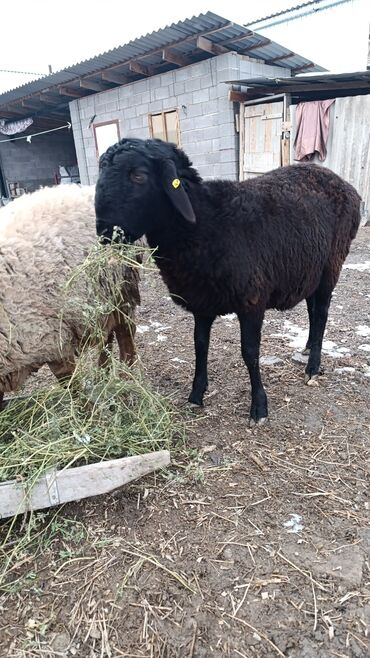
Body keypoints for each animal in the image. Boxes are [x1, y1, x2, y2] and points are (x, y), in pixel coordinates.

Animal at [0, 182, 142, 402]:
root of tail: (88, 188)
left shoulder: (51, 338)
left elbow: (71, 386)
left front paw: (86, 408)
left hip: (120, 287)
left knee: (126, 335)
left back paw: (124, 381)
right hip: (97, 300)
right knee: (107, 335)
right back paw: (102, 375)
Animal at [94, 139, 362, 426]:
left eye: (138, 175)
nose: (104, 232)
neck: (205, 224)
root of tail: (347, 186)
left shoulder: (252, 300)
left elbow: (250, 352)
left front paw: (259, 407)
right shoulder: (201, 302)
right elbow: (200, 345)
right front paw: (196, 394)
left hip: (331, 264)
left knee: (321, 314)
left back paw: (313, 367)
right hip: (311, 269)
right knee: (313, 310)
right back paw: (309, 346)